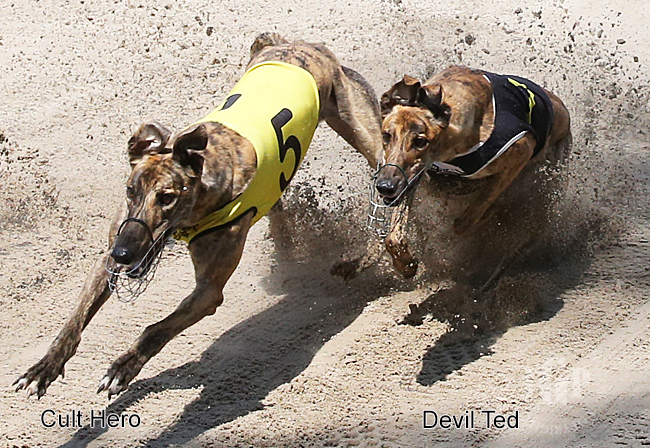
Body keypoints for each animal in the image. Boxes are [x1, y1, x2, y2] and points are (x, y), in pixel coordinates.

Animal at [14, 33, 383, 398]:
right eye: (130, 190)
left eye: (167, 198)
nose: (124, 254)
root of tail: (296, 45)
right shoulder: (110, 251)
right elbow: (76, 318)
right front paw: (43, 368)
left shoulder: (208, 291)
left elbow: (156, 329)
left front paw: (123, 366)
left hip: (362, 131)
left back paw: (366, 255)